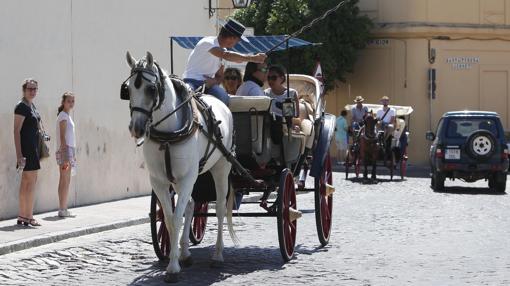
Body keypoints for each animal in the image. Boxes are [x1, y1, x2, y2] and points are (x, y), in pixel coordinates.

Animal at [123, 50, 235, 282]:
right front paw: (176, 258)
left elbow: (176, 218)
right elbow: (169, 220)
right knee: (192, 205)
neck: (168, 134)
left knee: (220, 208)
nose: (136, 128)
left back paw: (217, 255)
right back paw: (185, 252)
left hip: (220, 168)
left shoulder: (186, 178)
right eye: (128, 90)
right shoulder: (159, 180)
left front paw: (172, 268)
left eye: (151, 89)